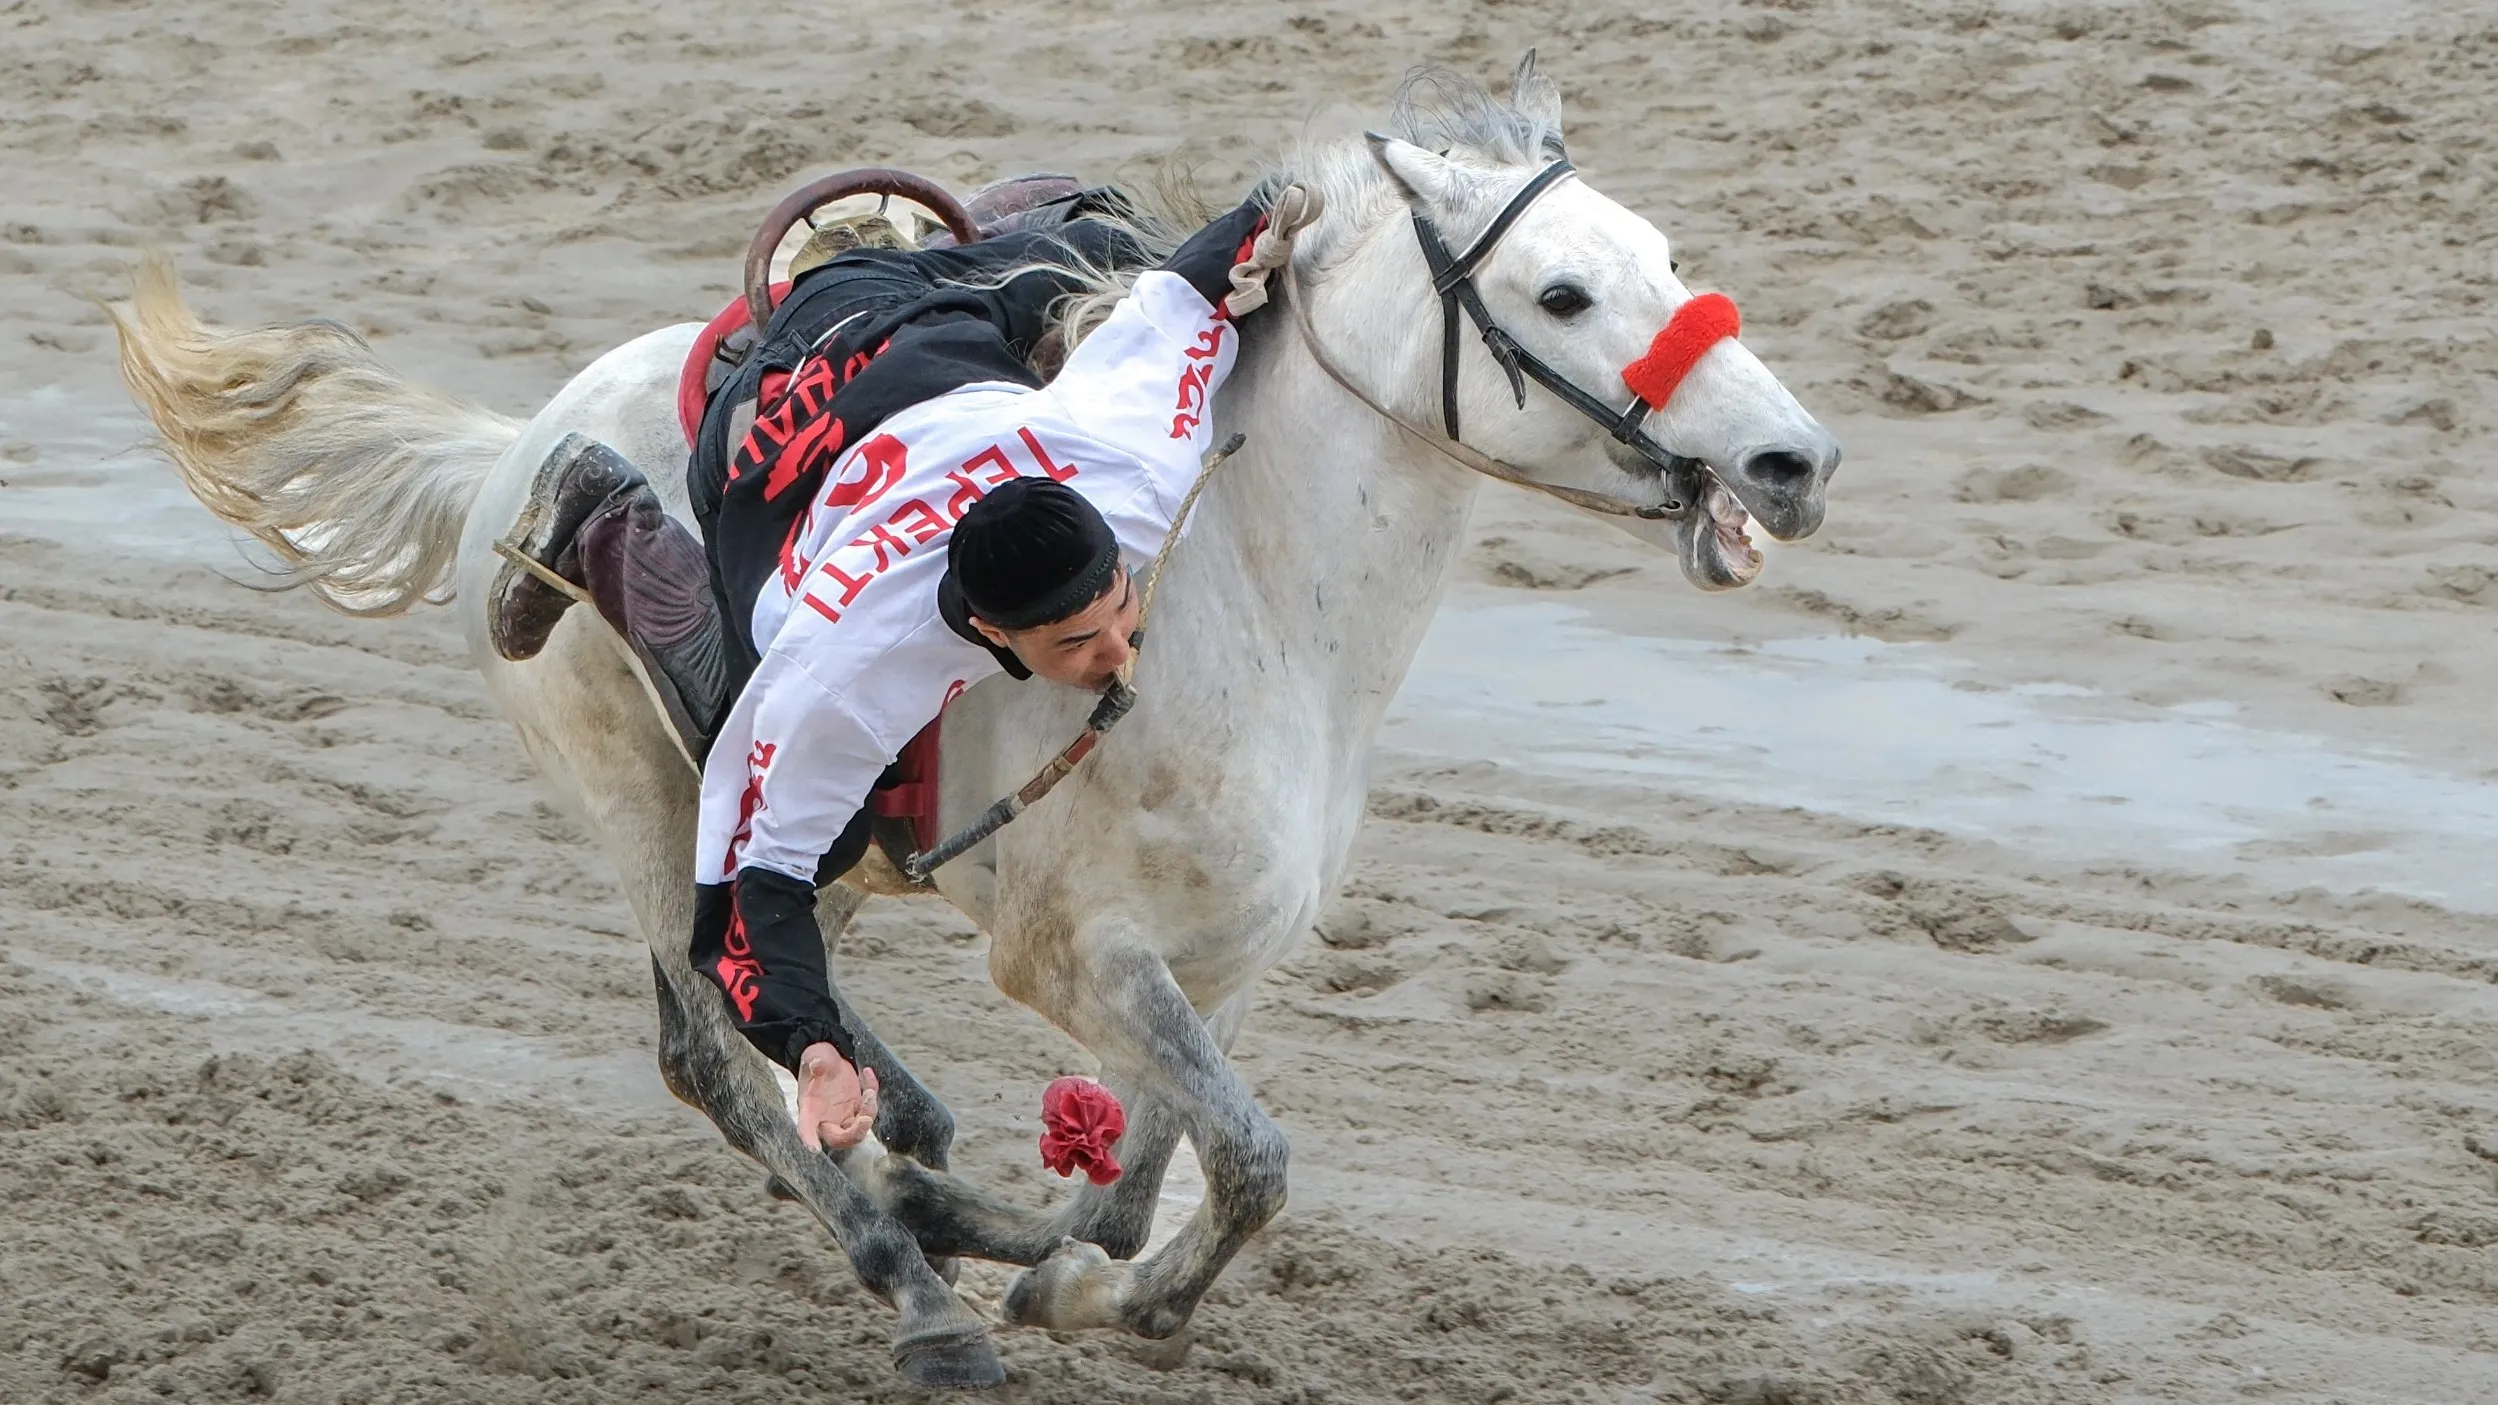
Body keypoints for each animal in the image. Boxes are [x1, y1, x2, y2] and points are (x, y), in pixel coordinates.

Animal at [112, 60, 1838, 1380]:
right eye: (1562, 291)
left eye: (1664, 258)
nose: (1790, 462)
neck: (1236, 606)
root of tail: (513, 450)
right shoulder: (1075, 955)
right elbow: (1247, 1167)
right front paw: (1046, 1281)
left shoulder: (1220, 966)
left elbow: (1142, 1179)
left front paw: (1041, 1254)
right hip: (646, 801)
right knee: (721, 1049)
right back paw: (918, 1292)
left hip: (776, 849)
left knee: (759, 1014)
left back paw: (911, 1144)